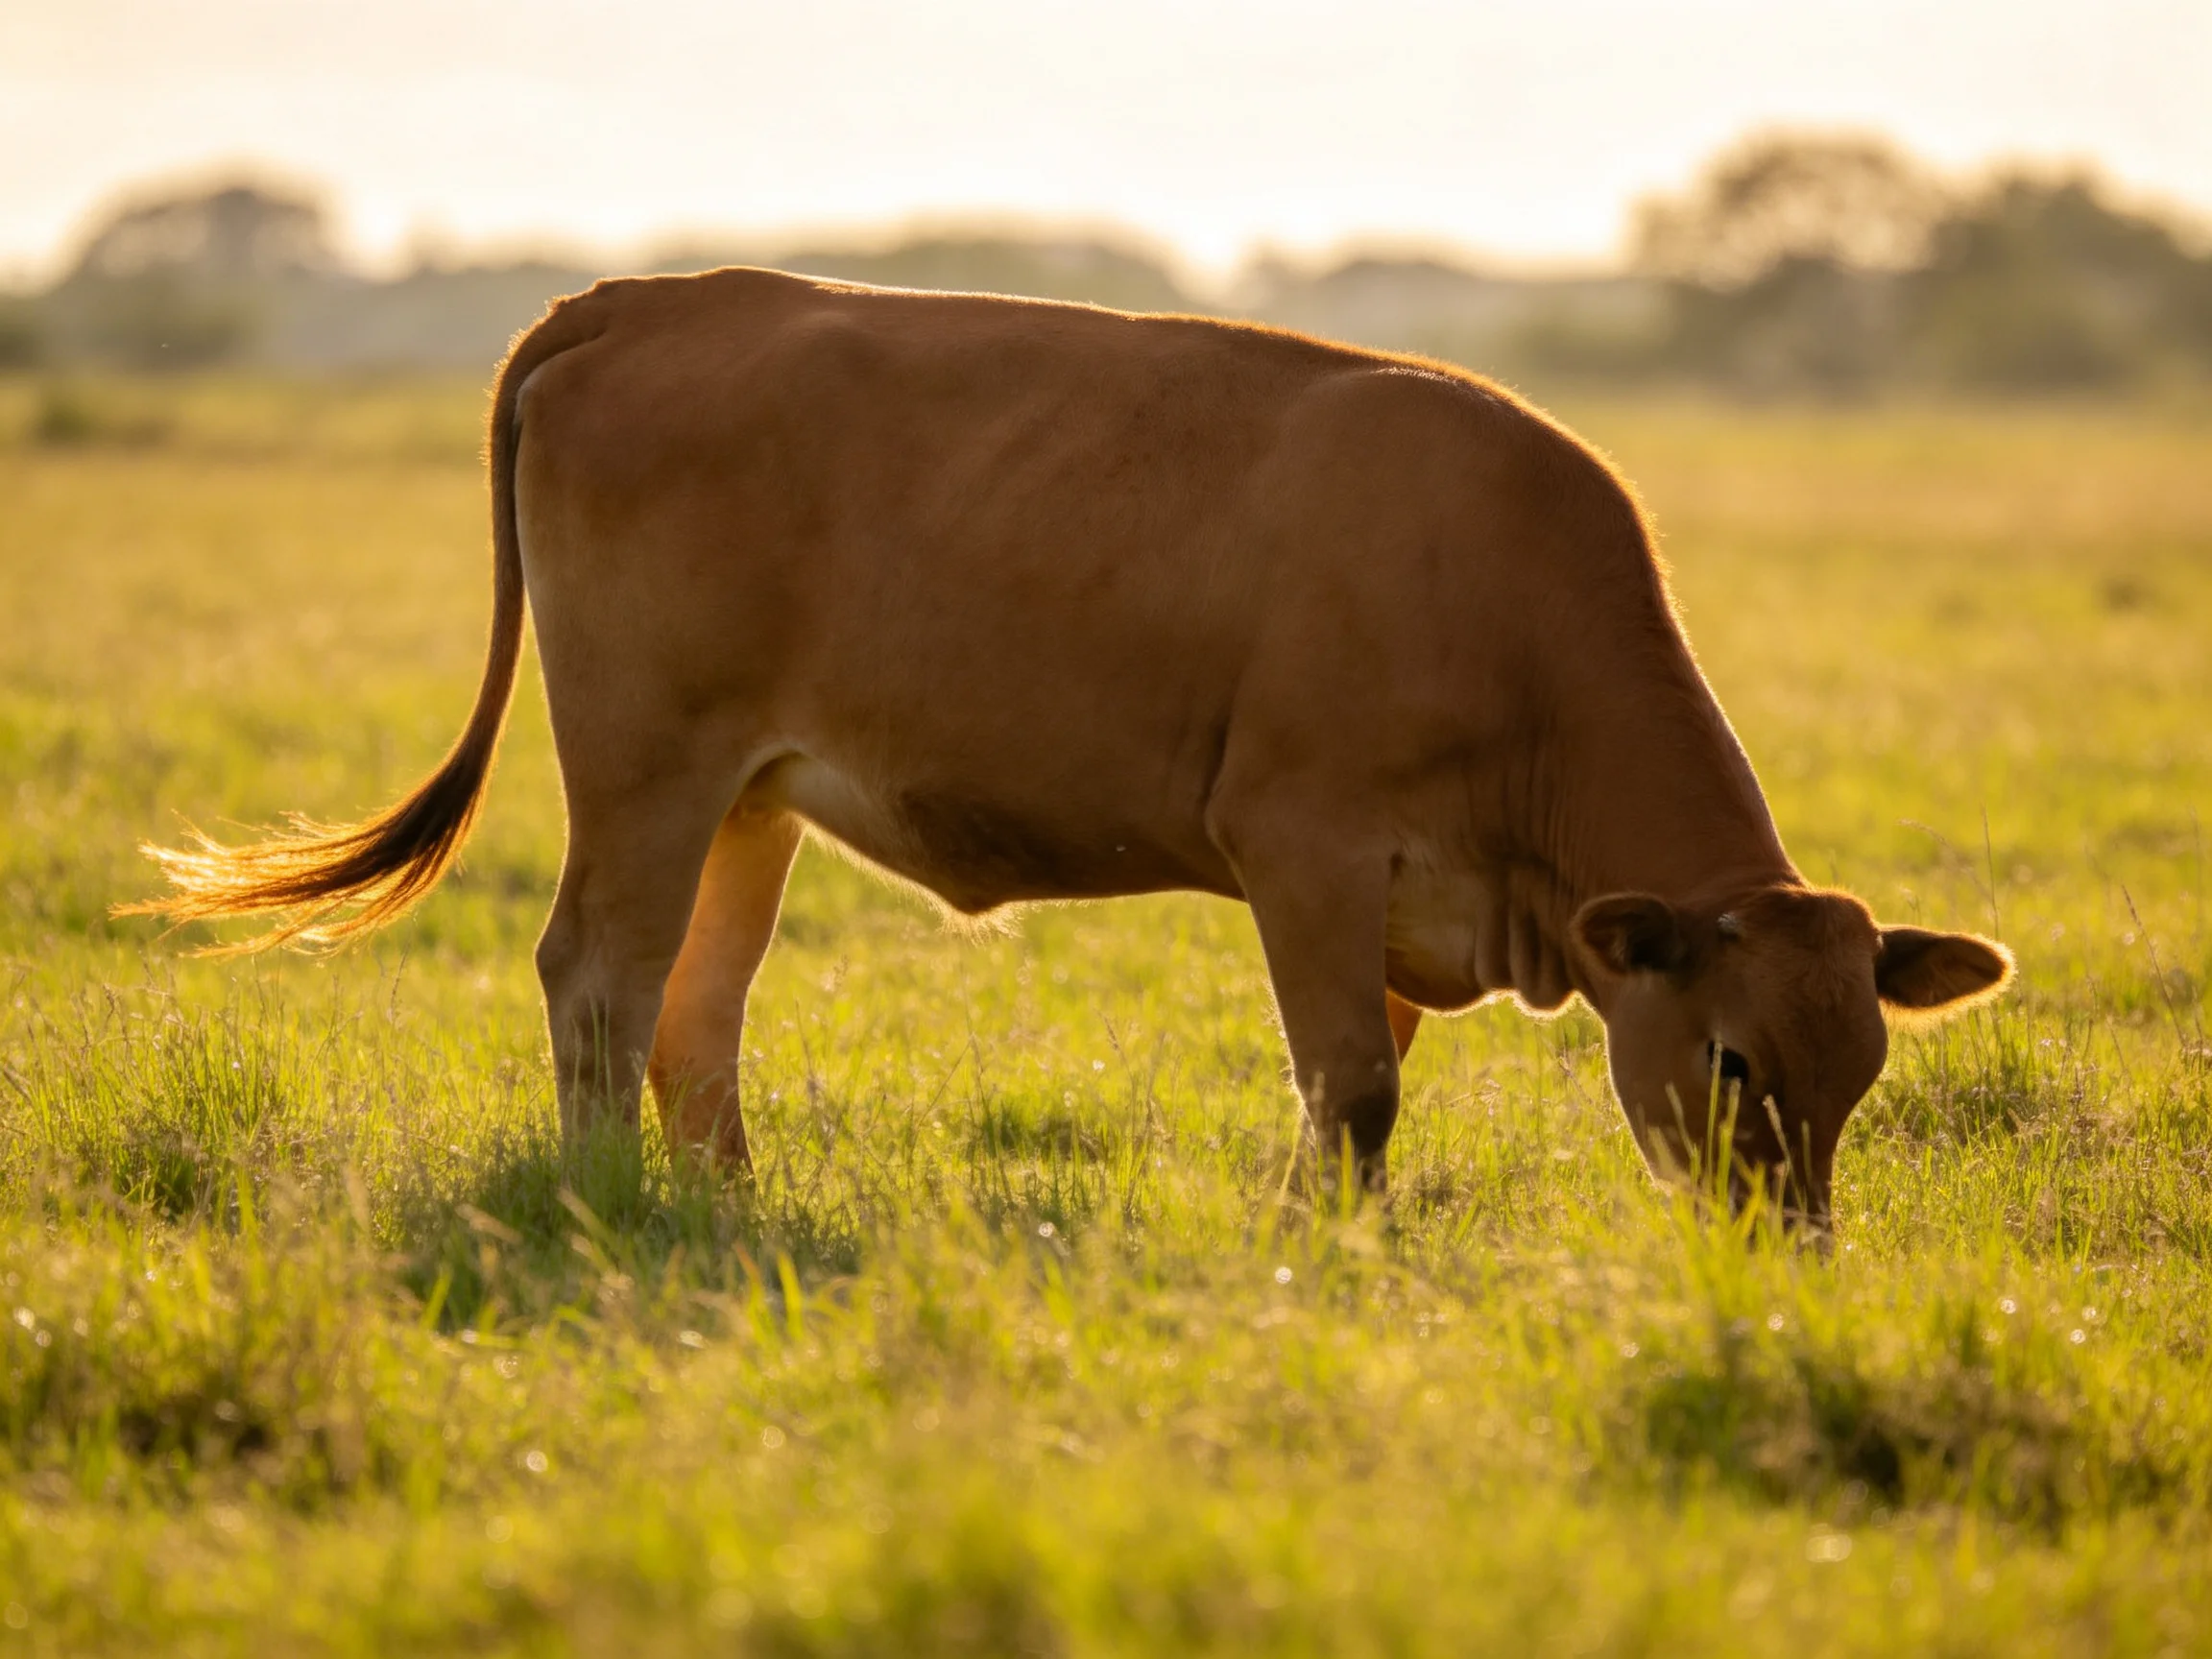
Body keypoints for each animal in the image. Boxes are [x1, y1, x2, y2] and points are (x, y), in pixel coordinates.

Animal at [131, 267, 2012, 1231]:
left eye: (1859, 1072)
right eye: (1732, 1064)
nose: (1780, 1253)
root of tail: (665, 295)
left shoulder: (1386, 905)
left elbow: (1348, 1084)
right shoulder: (1304, 846)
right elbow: (1354, 1089)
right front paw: (1327, 1261)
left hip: (748, 796)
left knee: (694, 1010)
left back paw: (728, 1209)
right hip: (646, 763)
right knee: (599, 973)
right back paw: (610, 1201)